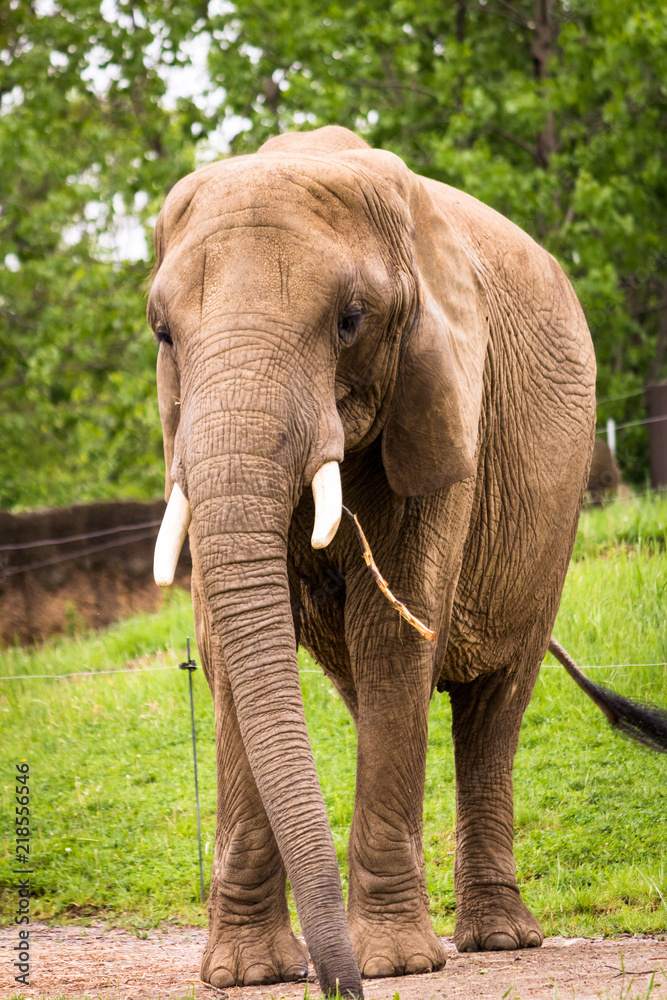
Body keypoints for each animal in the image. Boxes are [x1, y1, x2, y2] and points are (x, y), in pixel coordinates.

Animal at [147, 125, 666, 998]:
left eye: (350, 320)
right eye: (162, 334)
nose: (338, 986)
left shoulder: (443, 393)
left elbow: (394, 633)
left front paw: (393, 964)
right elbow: (226, 650)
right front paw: (248, 975)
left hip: (556, 513)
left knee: (493, 704)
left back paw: (496, 940)